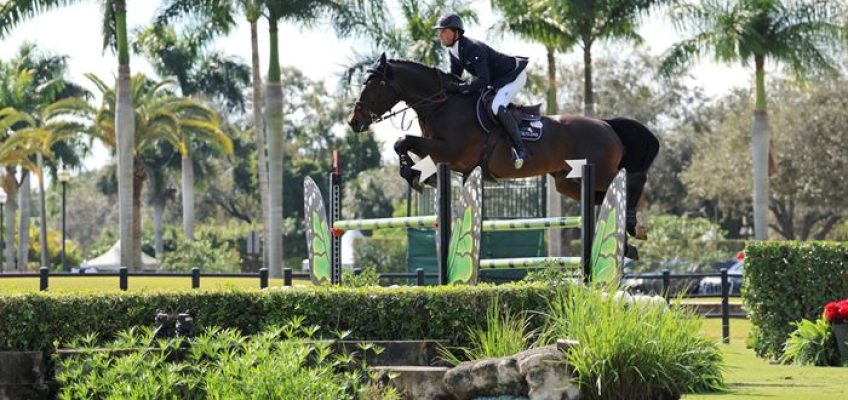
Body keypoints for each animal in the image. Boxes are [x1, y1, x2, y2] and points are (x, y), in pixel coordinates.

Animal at [348, 53, 660, 238]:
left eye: (372, 85)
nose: (354, 121)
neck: (442, 104)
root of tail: (607, 125)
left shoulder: (450, 151)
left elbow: (403, 141)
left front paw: (412, 176)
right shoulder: (439, 152)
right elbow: (405, 145)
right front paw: (418, 176)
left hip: (601, 171)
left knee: (632, 182)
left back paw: (633, 223)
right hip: (567, 181)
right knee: (601, 197)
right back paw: (630, 234)